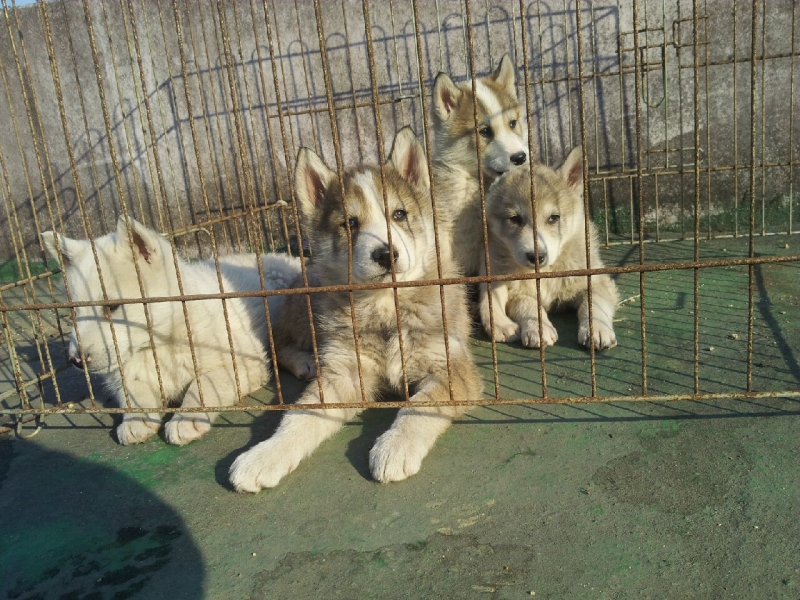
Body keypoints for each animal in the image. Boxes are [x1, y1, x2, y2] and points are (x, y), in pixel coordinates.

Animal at [42, 216, 307, 445]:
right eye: (73, 313)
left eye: (111, 307)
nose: (76, 360)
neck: (157, 342)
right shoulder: (125, 371)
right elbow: (133, 389)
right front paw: (136, 419)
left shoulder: (243, 361)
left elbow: (205, 383)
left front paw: (186, 418)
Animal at [229, 127, 482, 492]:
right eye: (349, 223)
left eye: (399, 214)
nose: (386, 254)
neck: (384, 309)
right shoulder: (344, 375)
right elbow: (298, 418)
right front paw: (265, 454)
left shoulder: (452, 369)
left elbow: (420, 405)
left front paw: (395, 447)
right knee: (279, 343)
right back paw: (307, 361)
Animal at [478, 146, 619, 351]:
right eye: (515, 219)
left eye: (554, 218)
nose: (536, 256)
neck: (545, 275)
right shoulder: (517, 293)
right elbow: (529, 306)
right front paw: (538, 328)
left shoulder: (597, 281)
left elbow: (593, 305)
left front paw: (597, 329)